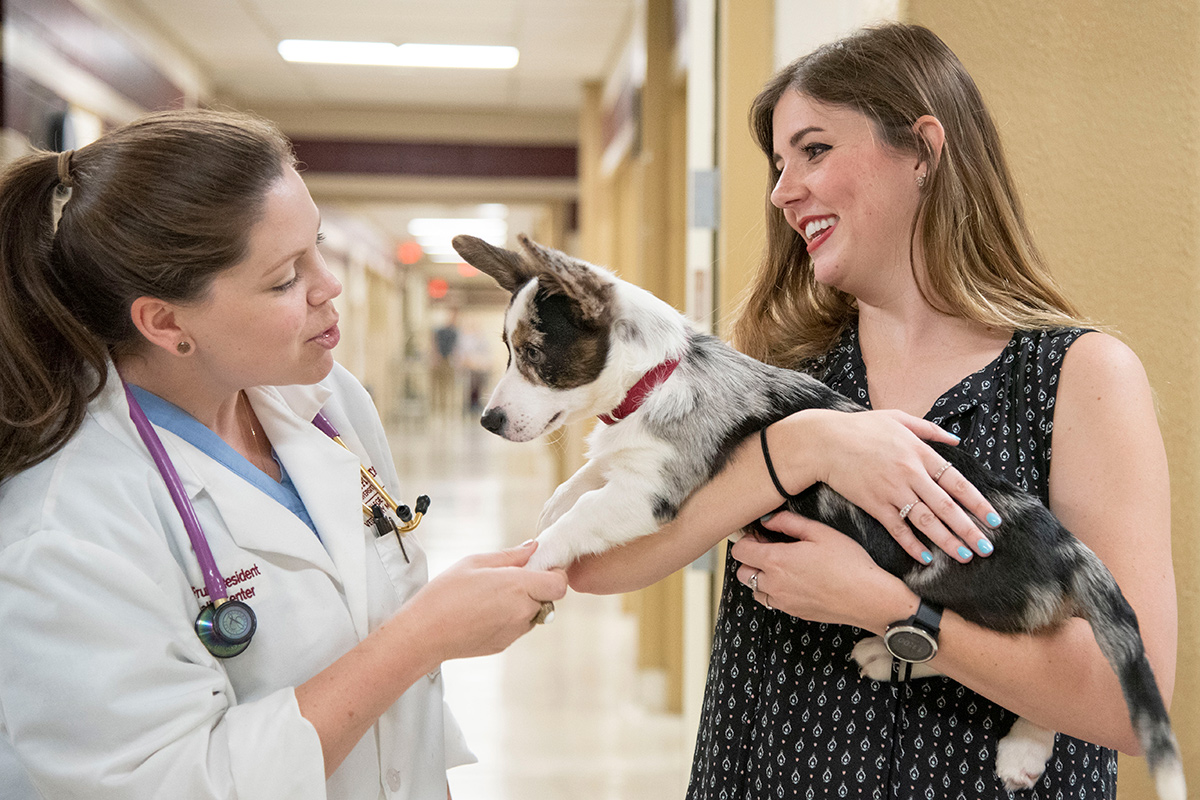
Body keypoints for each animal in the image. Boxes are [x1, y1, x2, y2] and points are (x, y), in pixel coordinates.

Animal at [453, 232, 1185, 800]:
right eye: (507, 349)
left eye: (533, 354)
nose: (488, 421)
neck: (656, 377)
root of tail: (1068, 550)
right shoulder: (623, 464)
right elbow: (580, 482)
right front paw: (552, 502)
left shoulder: (648, 493)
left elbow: (575, 521)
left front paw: (538, 556)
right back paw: (885, 655)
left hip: (958, 586)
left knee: (1038, 666)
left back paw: (1014, 744)